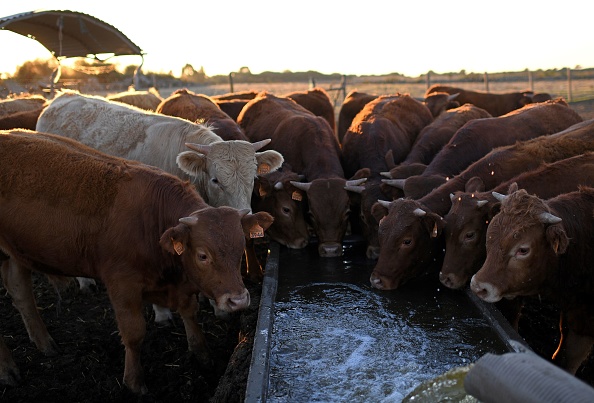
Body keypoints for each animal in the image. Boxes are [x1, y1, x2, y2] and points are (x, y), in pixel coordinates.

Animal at [0, 129, 272, 394]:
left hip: (14, 254)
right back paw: (8, 370)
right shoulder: (122, 284)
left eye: (239, 248)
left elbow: (190, 313)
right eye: (203, 255)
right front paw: (134, 381)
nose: (238, 300)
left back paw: (45, 344)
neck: (151, 218)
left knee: (21, 292)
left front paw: (202, 356)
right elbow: (134, 334)